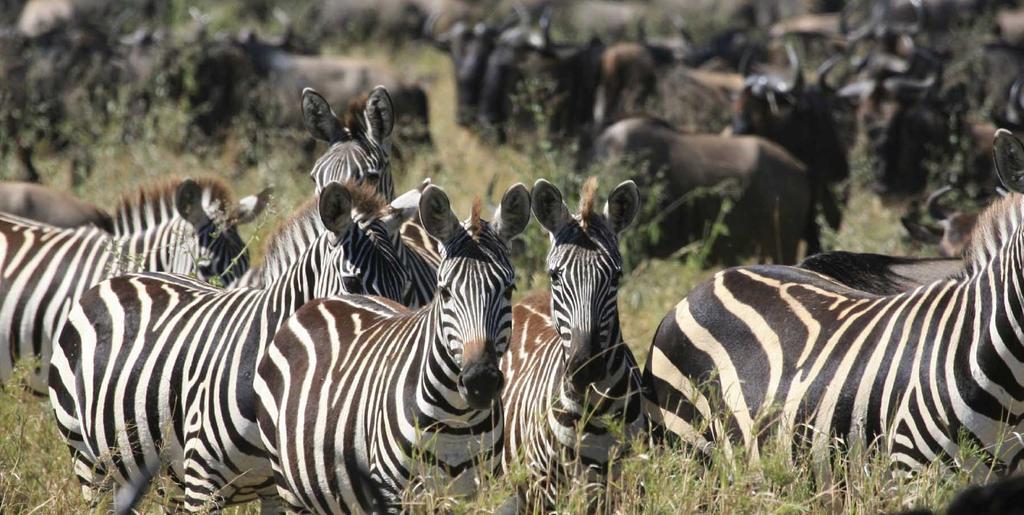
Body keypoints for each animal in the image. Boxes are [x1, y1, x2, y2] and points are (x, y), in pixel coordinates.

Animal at [47, 181, 415, 511]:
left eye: (406, 284)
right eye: (352, 281)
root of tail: (118, 278)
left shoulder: (278, 492)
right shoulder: (201, 483)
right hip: (89, 459)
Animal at [254, 183, 532, 513]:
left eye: (509, 289)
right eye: (444, 291)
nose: (481, 382)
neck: (457, 419)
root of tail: (321, 301)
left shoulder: (477, 494)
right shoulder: (392, 494)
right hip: (289, 486)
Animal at [497, 179, 643, 509]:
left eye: (616, 276)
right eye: (555, 275)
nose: (584, 367)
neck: (595, 411)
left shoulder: (623, 481)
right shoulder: (547, 485)